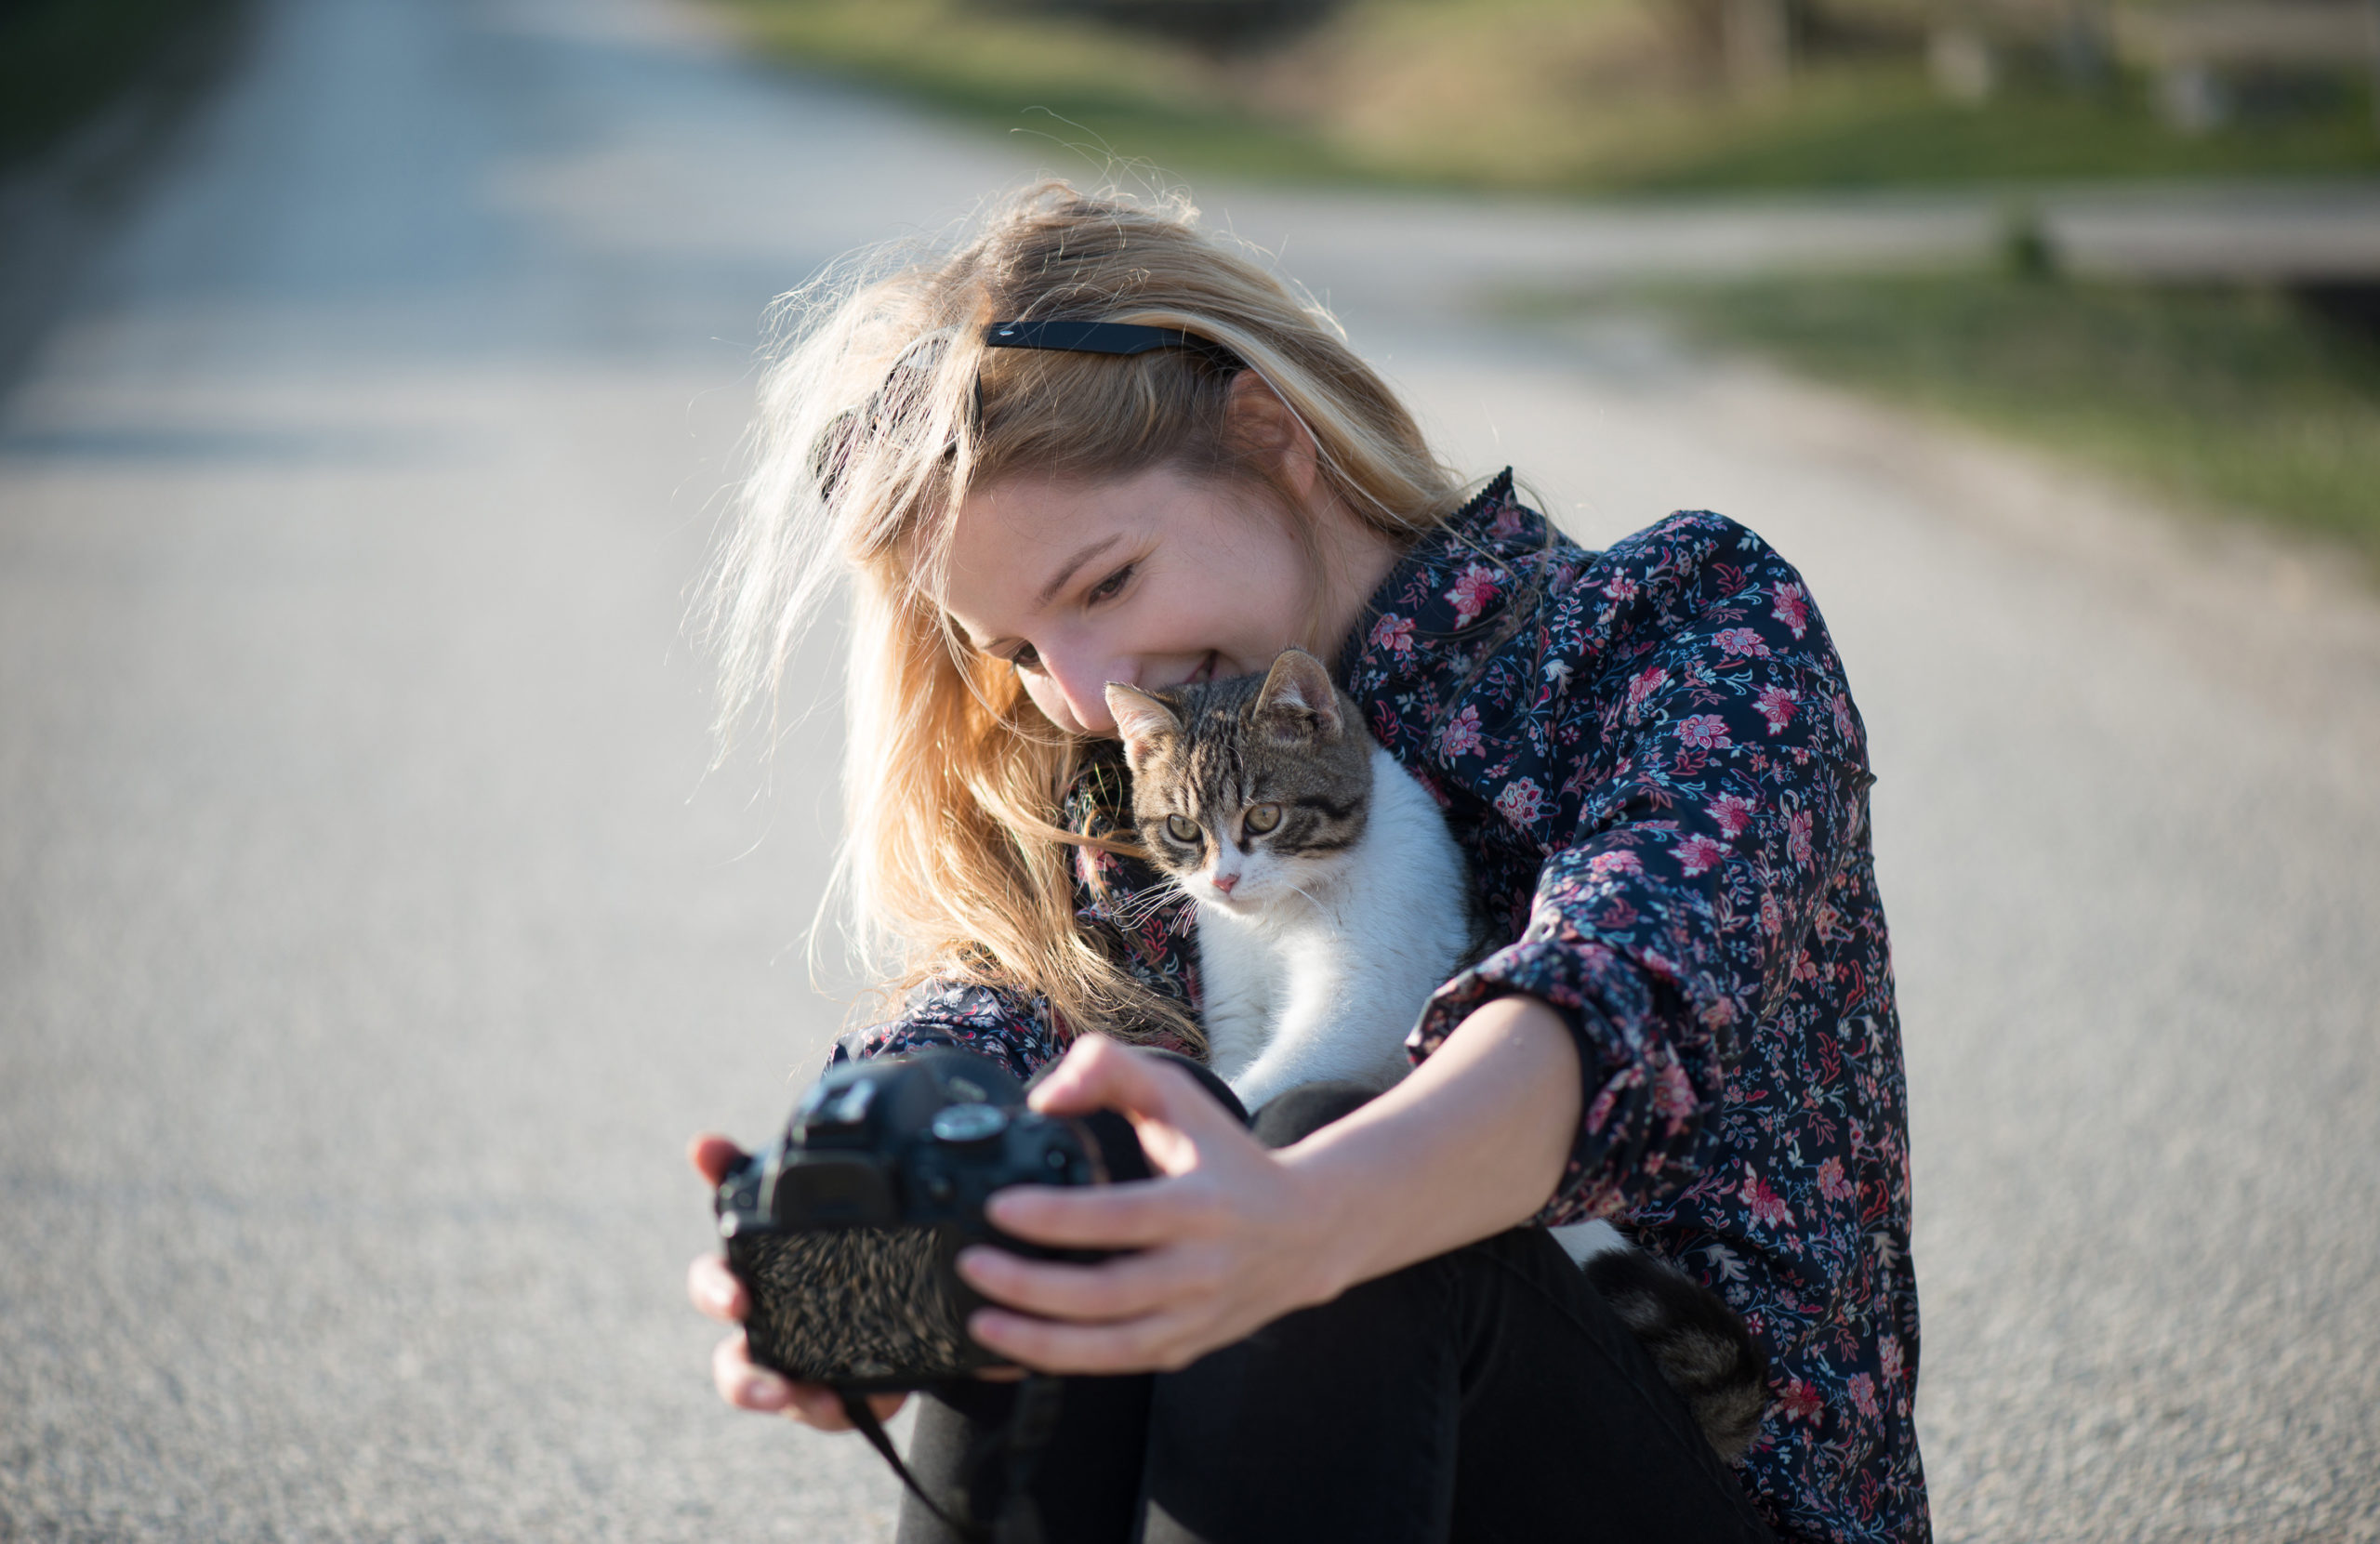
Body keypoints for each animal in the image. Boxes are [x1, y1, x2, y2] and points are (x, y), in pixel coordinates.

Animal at [1104, 647, 1761, 1456]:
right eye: (1182, 828)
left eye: (1264, 815)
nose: (1224, 878)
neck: (1283, 915)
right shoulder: (1238, 1004)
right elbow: (1234, 1065)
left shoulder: (1367, 1002)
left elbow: (1269, 1079)